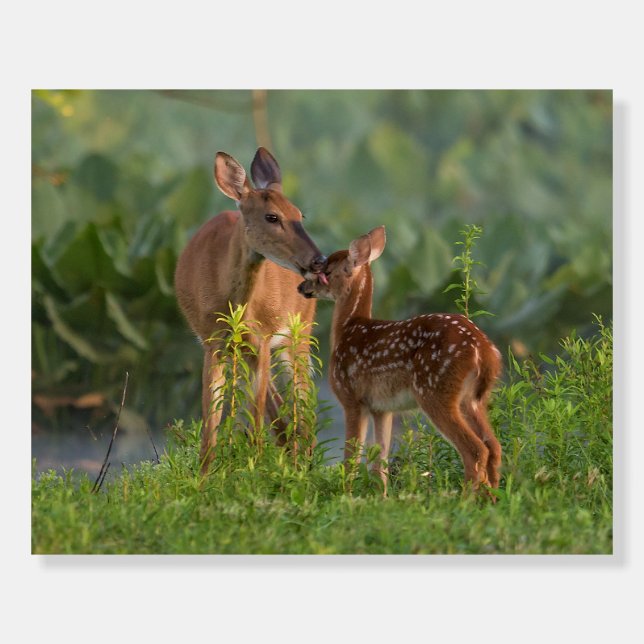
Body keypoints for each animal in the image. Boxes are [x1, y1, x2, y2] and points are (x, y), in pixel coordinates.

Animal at [174, 148, 327, 472]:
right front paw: (205, 477)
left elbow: (255, 421)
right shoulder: (212, 343)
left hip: (299, 335)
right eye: (272, 216)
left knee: (303, 403)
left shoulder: (264, 339)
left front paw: (256, 471)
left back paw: (304, 464)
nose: (318, 260)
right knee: (280, 411)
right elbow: (211, 426)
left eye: (300, 215)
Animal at [297, 226, 502, 495]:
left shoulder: (351, 397)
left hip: (435, 391)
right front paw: (381, 497)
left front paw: (345, 493)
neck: (348, 328)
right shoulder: (382, 408)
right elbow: (380, 461)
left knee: (475, 449)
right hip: (473, 399)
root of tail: (484, 351)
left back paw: (465, 499)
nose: (302, 287)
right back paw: (493, 497)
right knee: (494, 446)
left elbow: (352, 457)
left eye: (326, 272)